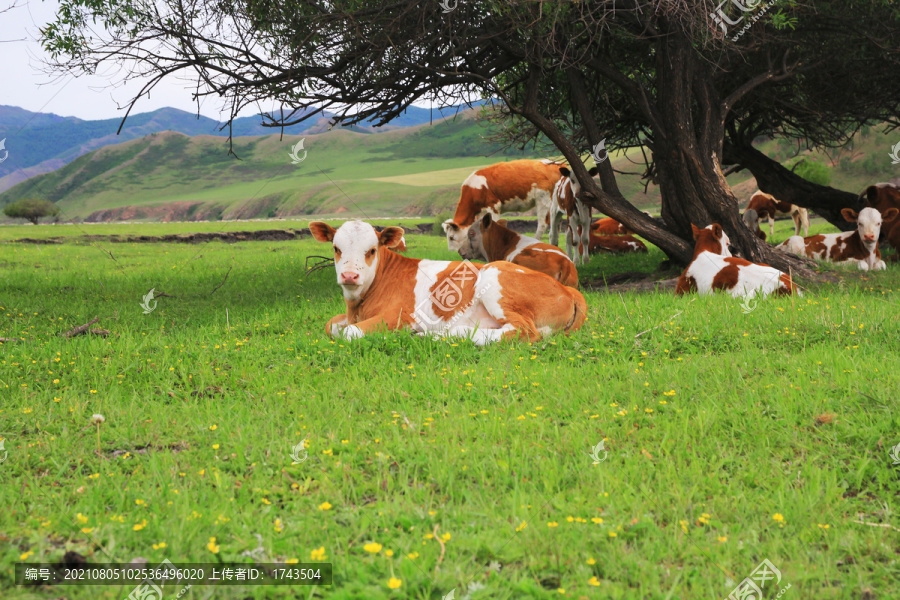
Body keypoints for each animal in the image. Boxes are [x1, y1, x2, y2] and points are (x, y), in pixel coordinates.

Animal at [312, 220, 592, 344]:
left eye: (371, 250)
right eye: (336, 248)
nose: (350, 276)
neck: (357, 306)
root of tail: (567, 289)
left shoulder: (400, 315)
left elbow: (349, 332)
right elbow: (331, 325)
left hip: (494, 277)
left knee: (523, 331)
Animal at [772, 207, 900, 270]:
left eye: (879, 223)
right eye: (859, 223)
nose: (868, 236)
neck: (869, 255)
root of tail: (779, 244)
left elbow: (883, 265)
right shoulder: (837, 260)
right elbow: (863, 265)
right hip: (796, 241)